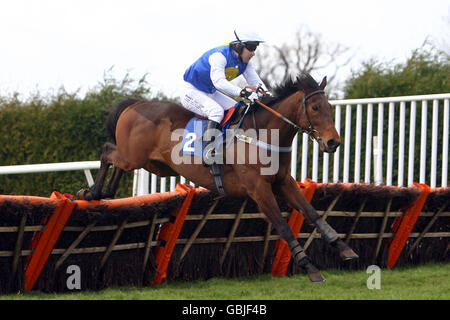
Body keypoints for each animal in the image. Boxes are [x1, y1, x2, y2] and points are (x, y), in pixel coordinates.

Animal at [77, 73, 358, 282]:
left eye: (330, 107)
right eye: (315, 107)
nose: (333, 142)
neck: (263, 134)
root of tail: (135, 104)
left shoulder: (282, 182)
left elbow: (311, 212)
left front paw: (344, 248)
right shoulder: (259, 190)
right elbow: (283, 225)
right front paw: (310, 268)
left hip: (154, 164)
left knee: (117, 162)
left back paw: (103, 193)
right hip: (133, 156)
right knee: (108, 152)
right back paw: (91, 193)